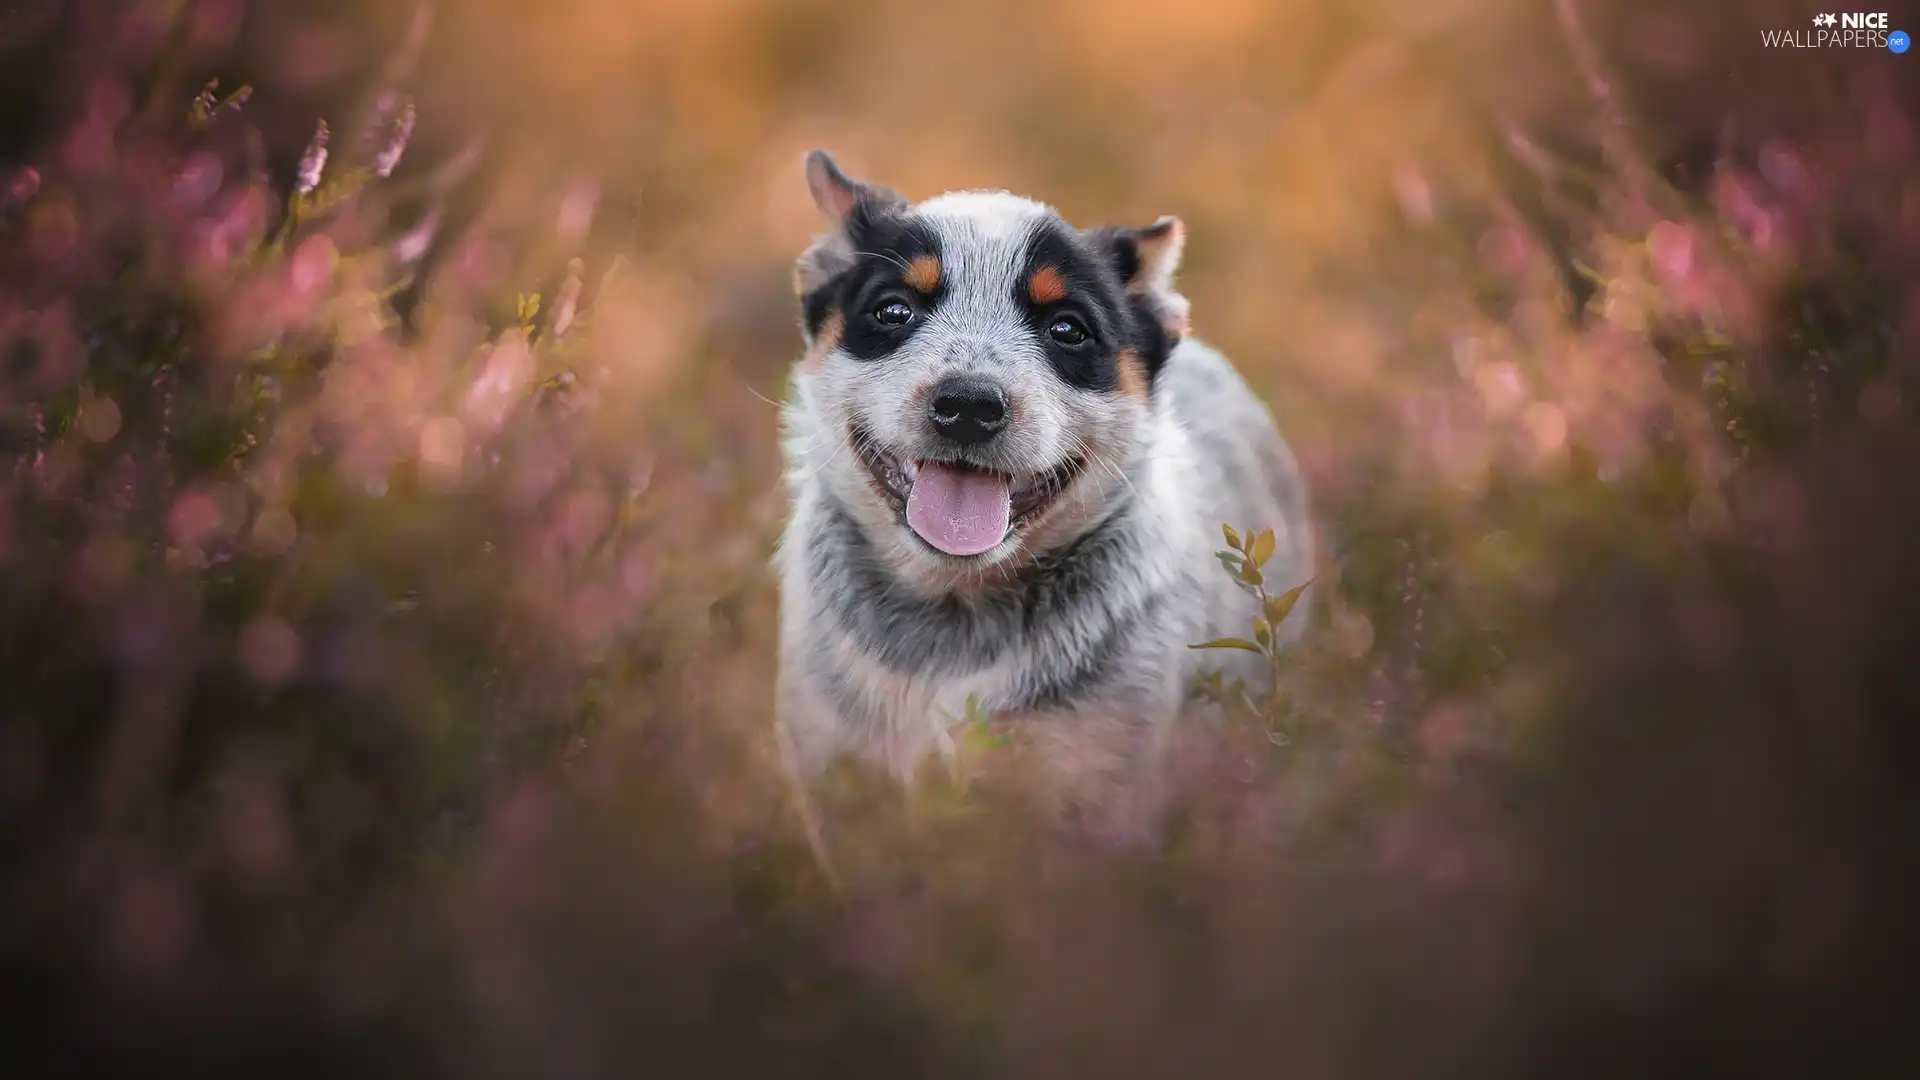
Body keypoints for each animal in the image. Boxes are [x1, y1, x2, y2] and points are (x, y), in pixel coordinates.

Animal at [771, 148, 1313, 841]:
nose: (968, 403)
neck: (952, 628)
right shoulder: (837, 770)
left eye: (1068, 328)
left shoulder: (1095, 785)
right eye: (893, 311)